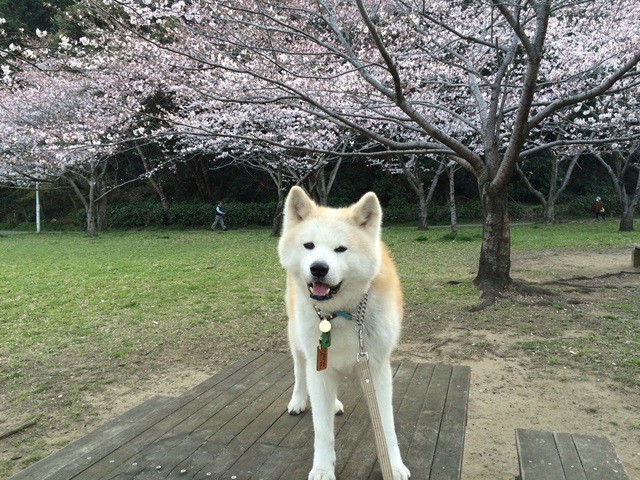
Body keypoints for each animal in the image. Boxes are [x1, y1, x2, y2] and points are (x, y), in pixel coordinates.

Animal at [276, 187, 410, 480]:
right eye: (309, 245)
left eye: (340, 249)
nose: (318, 268)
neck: (342, 313)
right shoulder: (319, 367)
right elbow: (322, 431)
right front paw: (323, 469)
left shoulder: (376, 369)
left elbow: (387, 427)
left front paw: (393, 465)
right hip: (298, 343)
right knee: (300, 371)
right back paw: (299, 399)